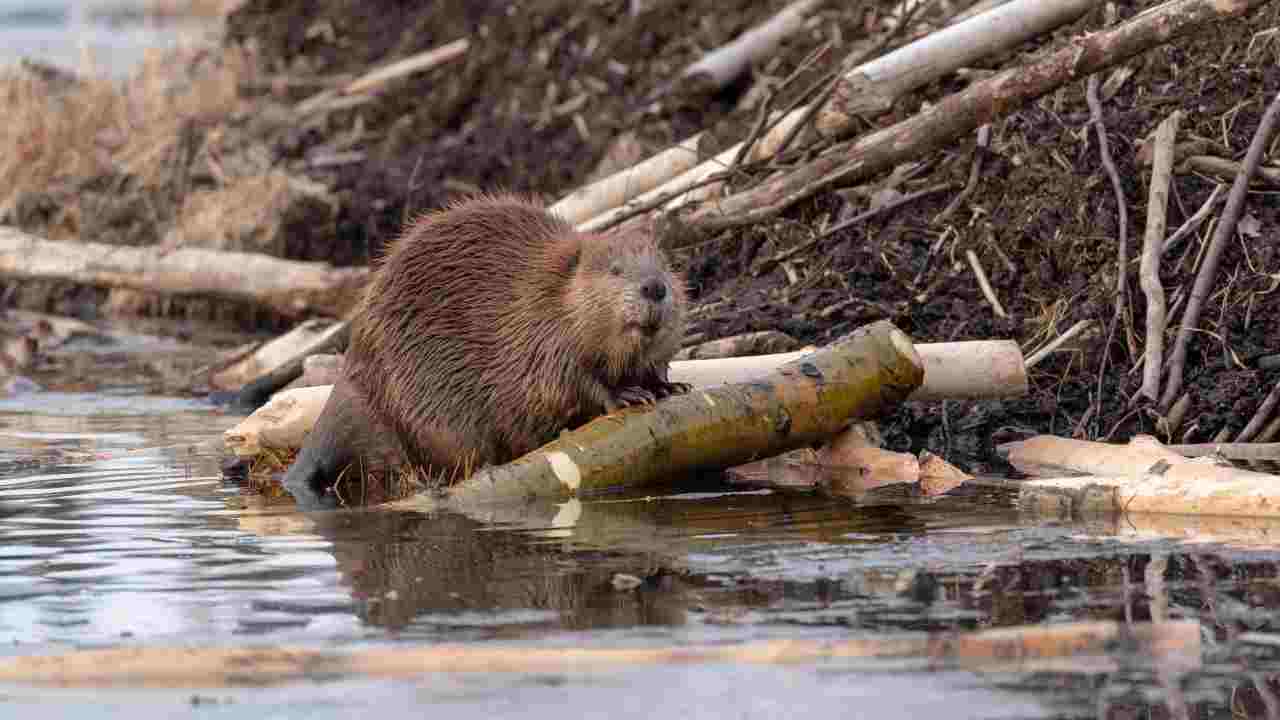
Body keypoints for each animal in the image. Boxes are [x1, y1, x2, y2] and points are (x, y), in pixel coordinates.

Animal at [285, 190, 691, 504]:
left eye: (665, 266)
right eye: (616, 270)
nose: (655, 287)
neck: (557, 294)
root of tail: (347, 384)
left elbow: (655, 363)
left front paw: (669, 386)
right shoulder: (543, 337)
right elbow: (573, 381)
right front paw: (627, 395)